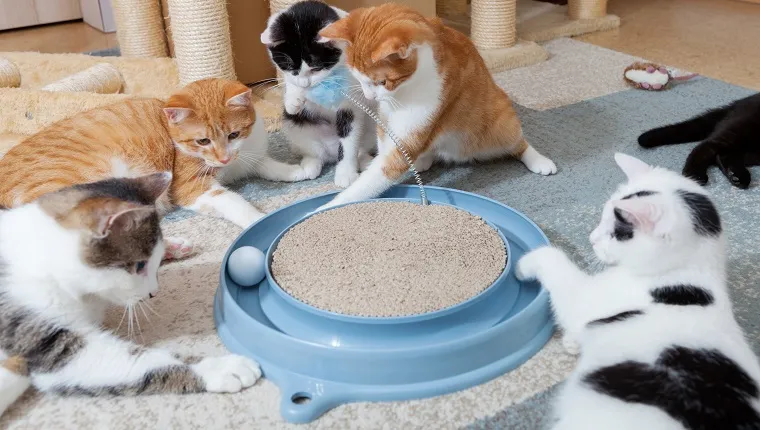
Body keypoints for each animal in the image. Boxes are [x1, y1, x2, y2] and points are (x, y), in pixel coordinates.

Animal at [0, 78, 318, 255]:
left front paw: (302, 169)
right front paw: (258, 220)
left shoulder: (247, 159)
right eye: (203, 140)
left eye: (234, 134)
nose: (223, 158)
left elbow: (269, 166)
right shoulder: (191, 188)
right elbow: (233, 202)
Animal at [0, 172, 260, 416]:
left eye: (148, 265)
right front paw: (221, 368)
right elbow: (131, 361)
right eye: (140, 266)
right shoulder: (44, 335)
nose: (153, 292)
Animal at [262, 0, 378, 188]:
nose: (305, 84)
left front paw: (346, 173)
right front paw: (294, 97)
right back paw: (309, 165)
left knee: (358, 147)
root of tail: (331, 152)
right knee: (314, 151)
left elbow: (349, 141)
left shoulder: (350, 108)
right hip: (295, 128)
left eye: (316, 68)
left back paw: (366, 162)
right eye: (290, 67)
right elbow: (290, 83)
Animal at [316, 2, 560, 208]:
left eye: (382, 82)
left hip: (501, 124)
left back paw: (539, 160)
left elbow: (375, 176)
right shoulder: (386, 119)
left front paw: (326, 208)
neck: (404, 91)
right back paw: (423, 159)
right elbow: (384, 150)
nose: (370, 96)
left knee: (519, 143)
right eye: (358, 78)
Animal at [516, 153, 760, 428]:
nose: (591, 238)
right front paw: (573, 342)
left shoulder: (584, 300)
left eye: (615, 233)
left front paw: (521, 266)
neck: (688, 270)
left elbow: (552, 259)